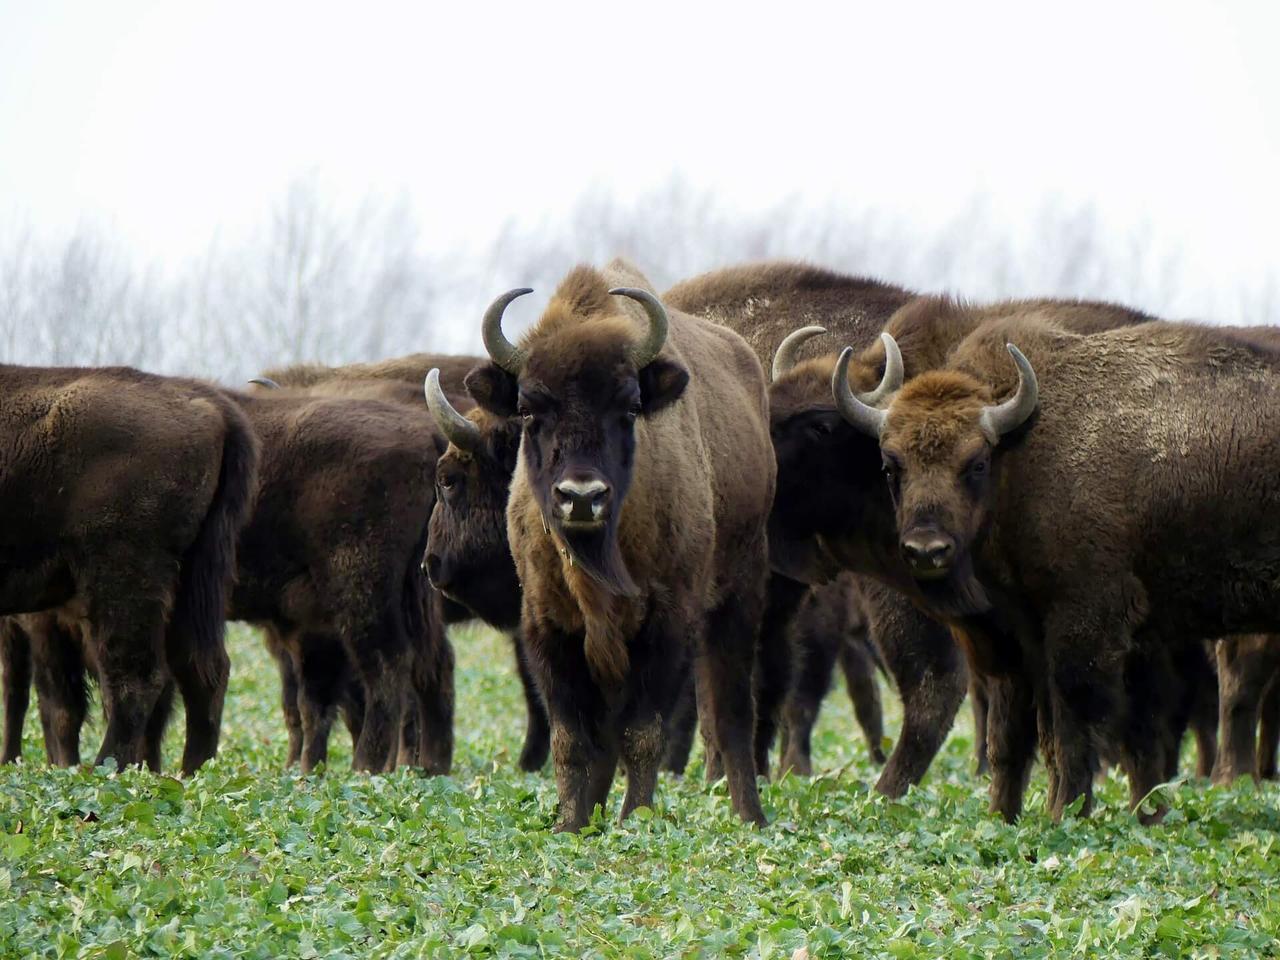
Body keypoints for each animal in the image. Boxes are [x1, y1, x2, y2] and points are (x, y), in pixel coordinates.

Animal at [0, 366, 256, 773]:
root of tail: (210, 404)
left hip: (123, 577)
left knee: (135, 679)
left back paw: (104, 771)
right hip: (191, 581)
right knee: (203, 670)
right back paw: (193, 772)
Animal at [463, 263, 773, 834]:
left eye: (630, 407)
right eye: (527, 408)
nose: (581, 496)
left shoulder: (667, 622)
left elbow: (643, 732)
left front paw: (638, 820)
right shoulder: (548, 625)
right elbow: (571, 739)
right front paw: (570, 824)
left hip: (740, 596)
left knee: (734, 713)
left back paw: (751, 817)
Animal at [834, 313, 1280, 819]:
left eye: (976, 463)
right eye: (891, 466)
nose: (927, 550)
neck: (1023, 451)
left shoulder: (1084, 625)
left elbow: (1073, 731)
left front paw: (1065, 814)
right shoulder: (1024, 641)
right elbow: (1019, 738)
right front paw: (1005, 816)